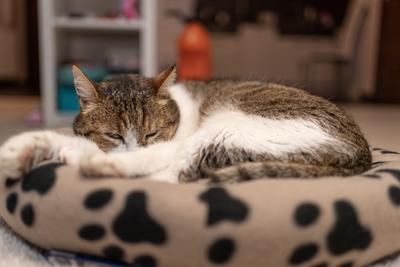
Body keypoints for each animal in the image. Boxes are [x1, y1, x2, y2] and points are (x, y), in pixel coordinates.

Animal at [0, 66, 372, 185]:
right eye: (113, 134)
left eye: (151, 132)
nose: (134, 144)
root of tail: (361, 156)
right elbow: (72, 136)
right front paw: (22, 148)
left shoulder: (163, 141)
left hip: (232, 127)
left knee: (171, 171)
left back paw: (97, 165)